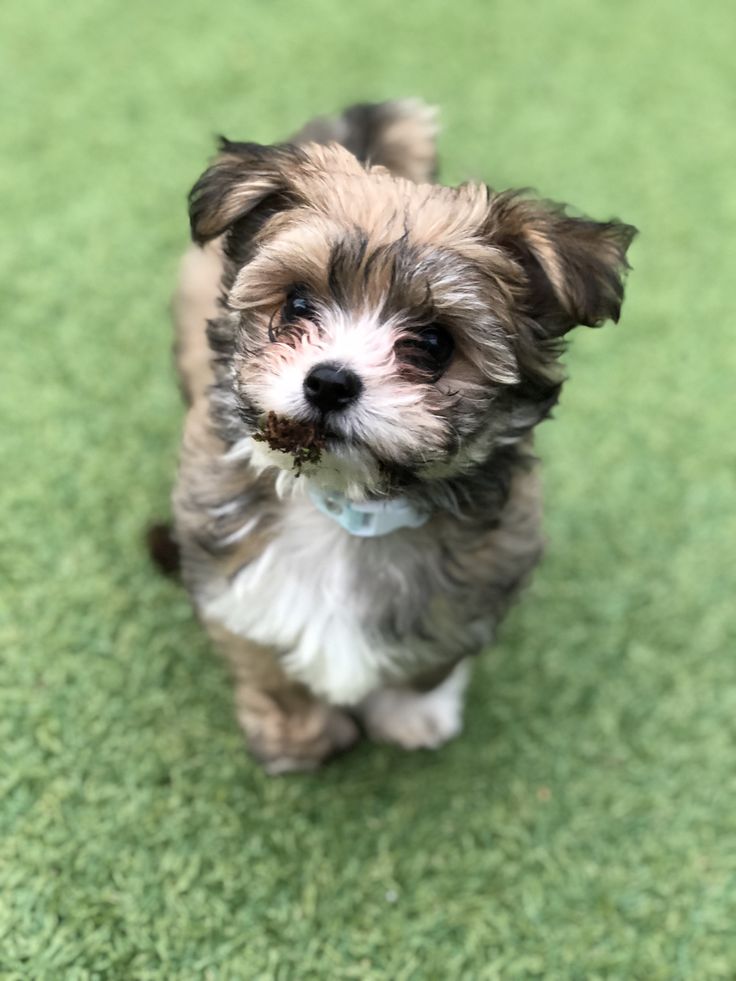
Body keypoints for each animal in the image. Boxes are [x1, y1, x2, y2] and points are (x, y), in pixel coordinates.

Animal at [164, 99, 636, 772]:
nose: (330, 381)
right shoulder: (226, 573)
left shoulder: (481, 582)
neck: (348, 506)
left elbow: (431, 659)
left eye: (434, 343)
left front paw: (412, 711)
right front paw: (297, 734)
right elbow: (262, 659)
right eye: (298, 304)